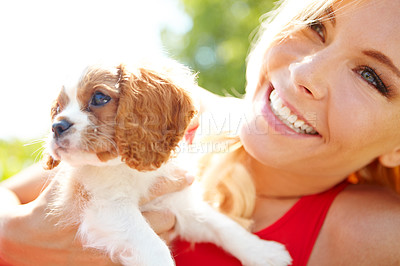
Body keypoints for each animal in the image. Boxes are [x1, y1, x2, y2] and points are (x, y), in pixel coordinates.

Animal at [45, 60, 292, 266]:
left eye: (99, 98)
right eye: (57, 109)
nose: (57, 126)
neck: (125, 167)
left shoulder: (177, 205)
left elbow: (220, 224)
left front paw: (263, 252)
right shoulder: (106, 207)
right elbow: (153, 246)